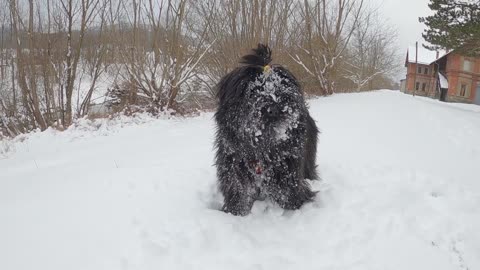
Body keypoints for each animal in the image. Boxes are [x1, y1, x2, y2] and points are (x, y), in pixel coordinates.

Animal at [214, 44, 318, 216]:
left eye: (282, 85)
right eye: (253, 90)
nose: (275, 107)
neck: (263, 147)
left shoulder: (289, 168)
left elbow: (290, 194)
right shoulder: (234, 167)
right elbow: (239, 193)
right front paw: (236, 212)